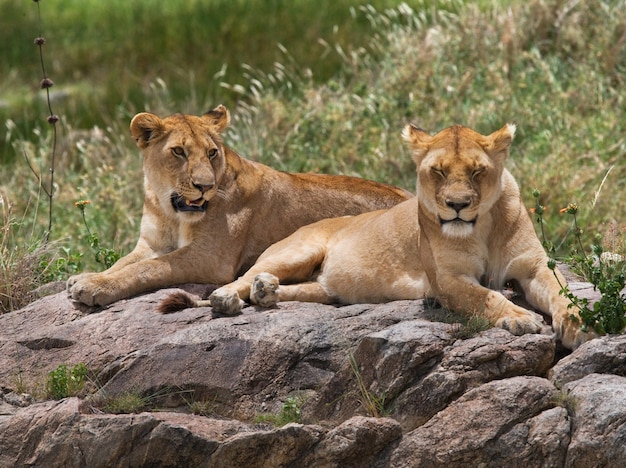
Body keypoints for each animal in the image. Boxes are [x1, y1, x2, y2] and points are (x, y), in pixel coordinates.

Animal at [67, 105, 410, 308]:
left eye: (211, 152)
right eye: (178, 151)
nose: (204, 186)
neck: (168, 209)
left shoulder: (211, 258)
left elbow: (147, 269)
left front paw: (94, 286)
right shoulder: (150, 243)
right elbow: (125, 263)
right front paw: (87, 277)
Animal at [197, 122, 592, 350]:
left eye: (477, 171)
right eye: (438, 171)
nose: (458, 205)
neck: (483, 227)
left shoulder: (533, 267)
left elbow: (562, 292)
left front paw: (578, 323)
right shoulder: (447, 279)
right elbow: (487, 297)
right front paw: (521, 318)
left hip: (326, 286)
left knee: (299, 289)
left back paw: (268, 291)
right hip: (298, 250)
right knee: (242, 278)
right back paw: (228, 298)